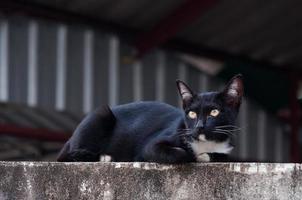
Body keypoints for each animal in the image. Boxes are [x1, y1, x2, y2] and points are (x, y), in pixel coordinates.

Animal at [57, 74, 244, 163]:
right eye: (192, 114)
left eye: (214, 112)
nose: (199, 126)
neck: (206, 143)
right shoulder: (151, 146)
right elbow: (180, 153)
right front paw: (194, 156)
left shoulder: (225, 150)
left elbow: (222, 156)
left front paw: (205, 156)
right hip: (100, 114)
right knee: (66, 157)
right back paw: (105, 157)